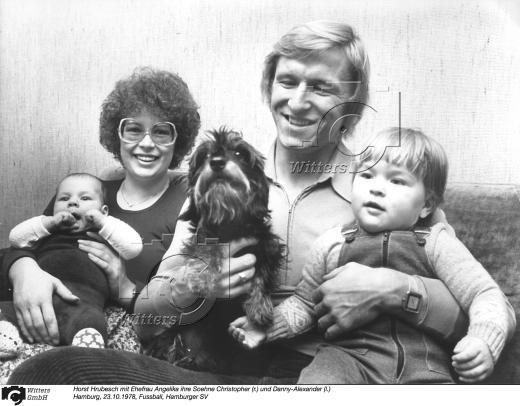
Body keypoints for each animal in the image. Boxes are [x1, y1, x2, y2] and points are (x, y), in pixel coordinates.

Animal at [144, 127, 284, 372]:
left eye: (238, 153)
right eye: (205, 156)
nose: (217, 162)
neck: (228, 218)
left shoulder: (267, 244)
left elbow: (262, 274)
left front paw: (259, 307)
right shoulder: (201, 237)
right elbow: (206, 249)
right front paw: (203, 277)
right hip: (172, 335)